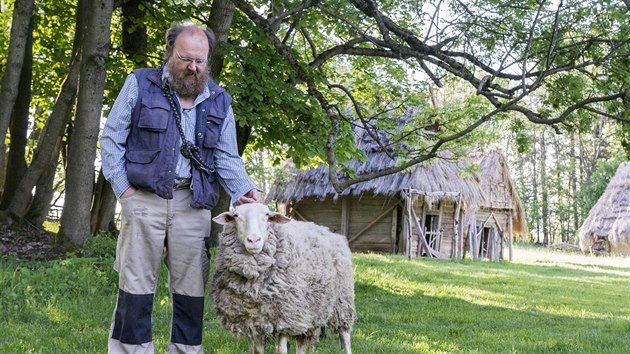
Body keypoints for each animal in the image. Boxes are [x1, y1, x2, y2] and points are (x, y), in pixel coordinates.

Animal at [211, 202, 356, 354]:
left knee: (345, 336)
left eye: (267, 215)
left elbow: (281, 350)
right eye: (236, 216)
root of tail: (328, 231)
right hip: (309, 310)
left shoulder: (286, 317)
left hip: (342, 302)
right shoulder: (251, 321)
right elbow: (257, 351)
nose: (254, 240)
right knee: (301, 344)